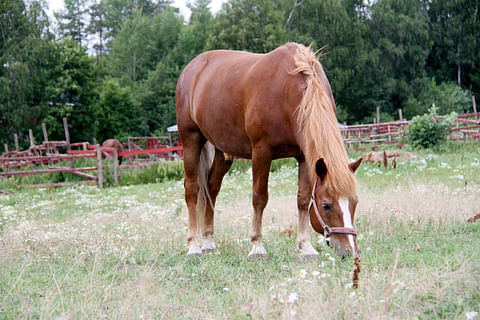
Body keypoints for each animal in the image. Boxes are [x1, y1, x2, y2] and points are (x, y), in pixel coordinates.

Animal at [175, 42, 360, 258]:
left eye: (354, 202)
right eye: (326, 205)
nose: (349, 252)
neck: (287, 91)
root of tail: (192, 68)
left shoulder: (304, 156)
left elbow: (303, 199)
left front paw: (305, 247)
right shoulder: (261, 151)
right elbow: (259, 198)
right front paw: (257, 246)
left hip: (223, 150)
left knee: (211, 189)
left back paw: (208, 242)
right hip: (191, 140)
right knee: (192, 190)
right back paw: (194, 246)